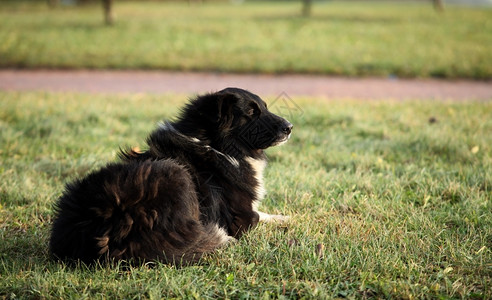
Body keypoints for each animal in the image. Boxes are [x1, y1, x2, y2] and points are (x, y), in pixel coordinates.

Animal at [50, 87, 292, 264]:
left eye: (265, 107)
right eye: (251, 113)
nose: (290, 127)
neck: (216, 145)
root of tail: (112, 221)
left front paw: (284, 217)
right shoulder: (240, 217)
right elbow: (258, 215)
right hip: (176, 174)